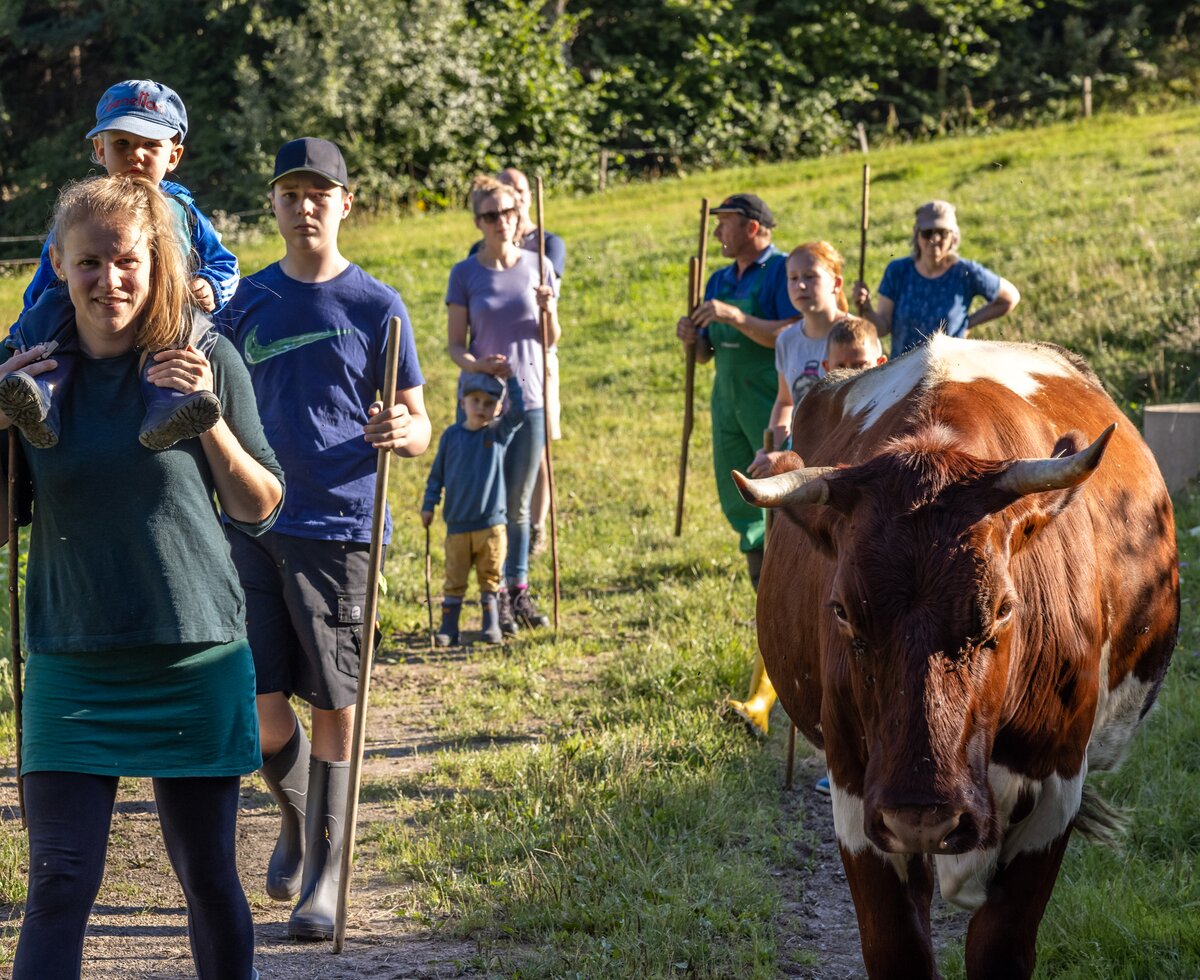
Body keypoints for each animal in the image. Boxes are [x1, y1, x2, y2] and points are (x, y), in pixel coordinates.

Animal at [734, 333, 1176, 978]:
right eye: (840, 610)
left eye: (1004, 608)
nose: (923, 812)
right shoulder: (859, 794)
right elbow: (898, 948)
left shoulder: (1056, 787)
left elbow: (999, 945)